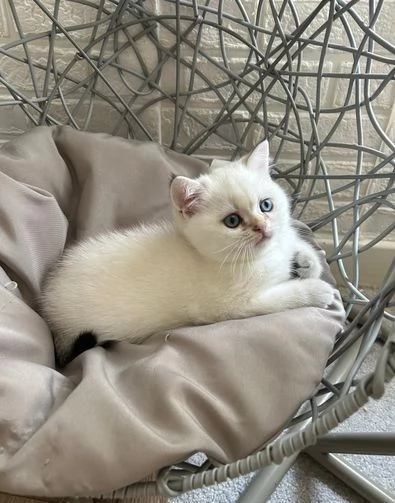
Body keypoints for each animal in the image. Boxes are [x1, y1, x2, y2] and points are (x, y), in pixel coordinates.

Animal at [42, 140, 334, 364]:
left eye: (266, 205)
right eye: (232, 221)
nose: (262, 227)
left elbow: (293, 244)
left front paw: (306, 261)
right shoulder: (231, 308)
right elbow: (282, 298)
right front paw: (317, 290)